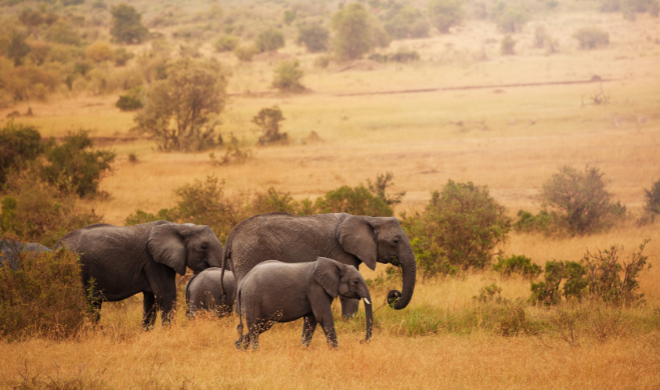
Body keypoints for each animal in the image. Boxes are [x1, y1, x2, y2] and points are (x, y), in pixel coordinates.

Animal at [54, 221, 224, 328]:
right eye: (204, 246)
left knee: (93, 305)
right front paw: (168, 333)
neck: (179, 226)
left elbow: (151, 299)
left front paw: (146, 334)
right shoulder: (154, 261)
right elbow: (165, 295)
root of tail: (55, 246)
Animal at [222, 210, 418, 316]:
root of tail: (231, 236)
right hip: (249, 253)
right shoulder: (341, 252)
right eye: (395, 241)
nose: (395, 294)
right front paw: (348, 323)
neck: (368, 218)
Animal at [236, 256, 372, 350]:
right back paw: (254, 351)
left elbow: (311, 319)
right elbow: (322, 316)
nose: (362, 341)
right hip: (253, 298)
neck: (337, 264)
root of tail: (242, 282)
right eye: (355, 282)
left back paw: (239, 347)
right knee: (255, 325)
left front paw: (303, 350)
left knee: (262, 325)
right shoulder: (315, 288)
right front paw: (335, 351)